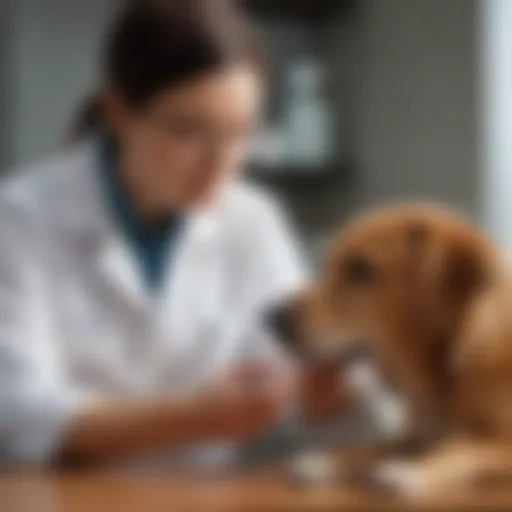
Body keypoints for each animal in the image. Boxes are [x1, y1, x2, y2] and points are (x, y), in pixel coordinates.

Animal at [268, 204, 512, 500]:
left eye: (360, 270)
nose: (271, 318)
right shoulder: (418, 433)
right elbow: (374, 444)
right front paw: (325, 460)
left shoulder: (501, 439)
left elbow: (463, 446)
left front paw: (414, 470)